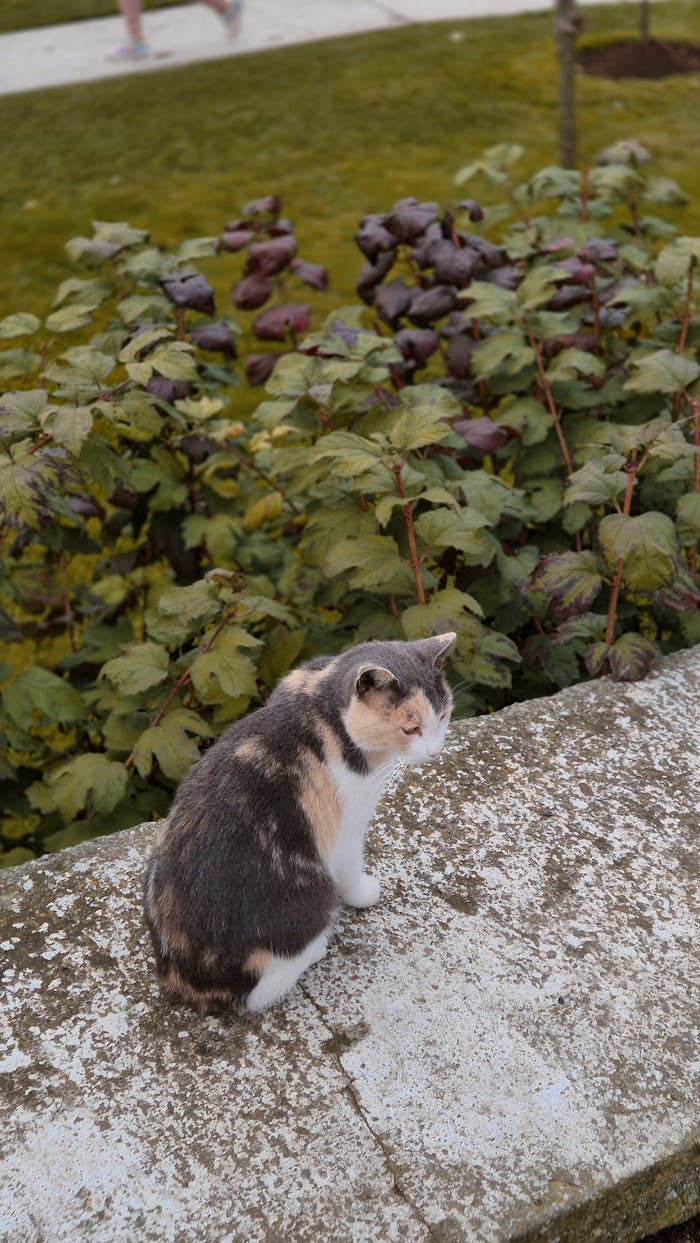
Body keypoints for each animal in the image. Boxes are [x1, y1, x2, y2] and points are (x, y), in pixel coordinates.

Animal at [145, 631, 457, 1009]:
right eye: (411, 729)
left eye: (444, 715)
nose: (436, 752)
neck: (322, 706)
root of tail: (181, 980)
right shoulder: (347, 831)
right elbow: (351, 870)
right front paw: (363, 893)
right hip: (311, 900)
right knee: (259, 993)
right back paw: (317, 948)